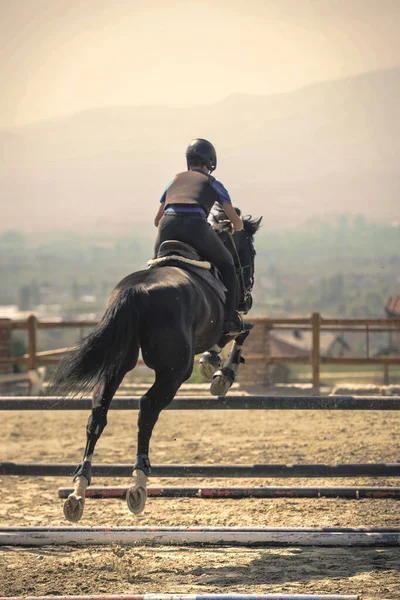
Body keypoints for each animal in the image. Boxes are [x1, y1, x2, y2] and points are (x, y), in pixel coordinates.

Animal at [52, 209, 260, 516]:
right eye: (250, 251)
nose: (248, 299)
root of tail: (135, 292)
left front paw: (211, 363)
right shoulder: (225, 324)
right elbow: (241, 332)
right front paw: (222, 376)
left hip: (117, 365)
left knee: (98, 412)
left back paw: (78, 491)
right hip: (174, 372)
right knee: (147, 407)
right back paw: (138, 483)